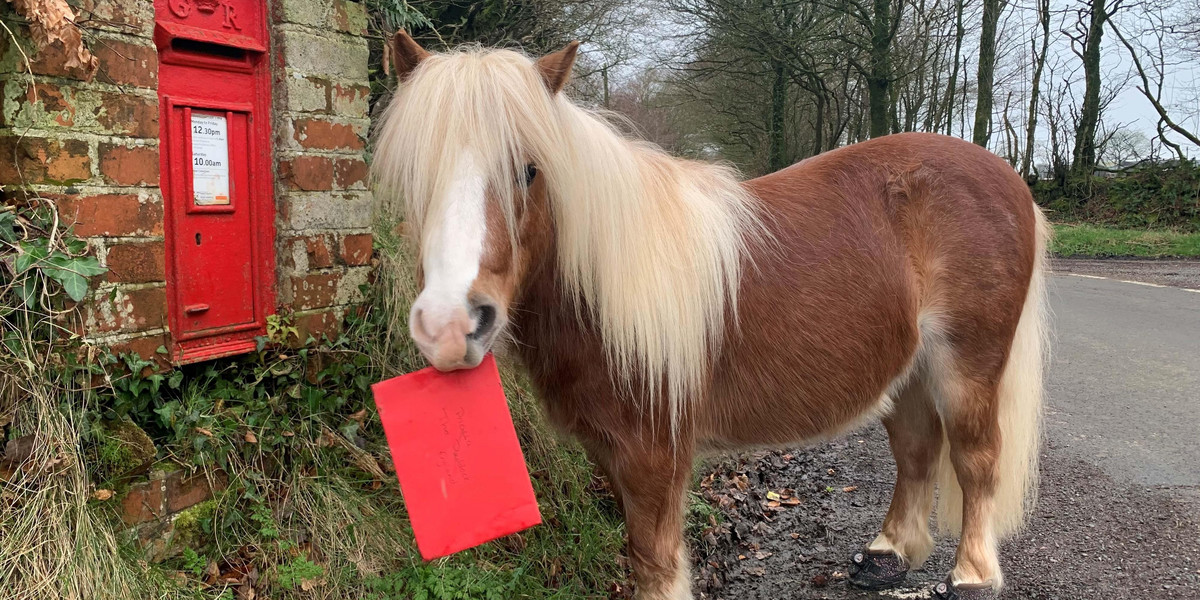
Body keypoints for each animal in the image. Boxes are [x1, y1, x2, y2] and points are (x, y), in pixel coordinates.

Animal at [369, 34, 1046, 600]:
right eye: (415, 177)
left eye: (529, 170)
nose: (449, 326)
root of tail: (1008, 178)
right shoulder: (609, 453)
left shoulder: (653, 458)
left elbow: (654, 564)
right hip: (909, 367)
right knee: (916, 448)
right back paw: (889, 555)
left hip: (967, 366)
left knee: (976, 458)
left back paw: (972, 574)